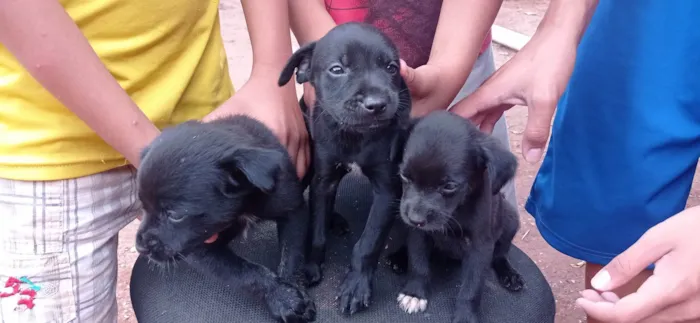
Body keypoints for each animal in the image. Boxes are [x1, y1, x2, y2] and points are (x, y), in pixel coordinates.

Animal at [135, 116, 316, 323]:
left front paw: (292, 291)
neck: (244, 205)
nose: (140, 248)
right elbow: (246, 272)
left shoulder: (292, 209)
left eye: (175, 215)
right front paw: (282, 298)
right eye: (142, 206)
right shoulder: (203, 249)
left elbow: (292, 257)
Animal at [278, 22, 410, 316]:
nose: (376, 104)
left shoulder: (387, 189)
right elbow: (317, 229)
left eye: (391, 68)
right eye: (337, 69)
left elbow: (369, 243)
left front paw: (356, 287)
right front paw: (311, 266)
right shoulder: (323, 178)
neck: (355, 136)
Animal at [396, 111, 524, 323]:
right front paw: (414, 293)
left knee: (501, 253)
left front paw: (465, 315)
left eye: (449, 186)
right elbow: (418, 263)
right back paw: (397, 256)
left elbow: (472, 287)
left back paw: (510, 274)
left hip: (510, 220)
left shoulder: (480, 246)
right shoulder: (419, 234)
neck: (456, 213)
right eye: (405, 176)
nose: (415, 219)